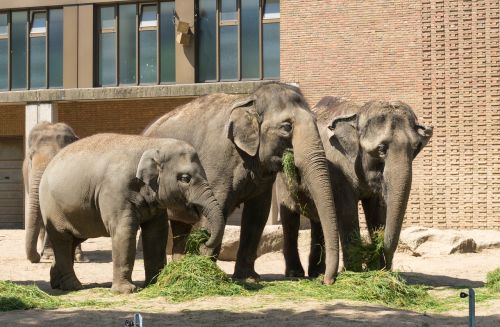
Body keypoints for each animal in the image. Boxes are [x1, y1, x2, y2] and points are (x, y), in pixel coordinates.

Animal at [39, 135, 225, 294]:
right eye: (185, 178)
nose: (204, 238)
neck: (152, 144)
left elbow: (157, 233)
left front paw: (155, 283)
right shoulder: (116, 190)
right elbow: (124, 231)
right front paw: (127, 291)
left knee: (73, 239)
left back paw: (57, 283)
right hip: (52, 207)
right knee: (63, 239)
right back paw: (74, 286)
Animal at [144, 82, 340, 284]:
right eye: (287, 127)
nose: (326, 281)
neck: (248, 100)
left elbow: (257, 214)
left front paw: (248, 279)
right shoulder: (215, 163)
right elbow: (215, 210)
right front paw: (208, 275)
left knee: (180, 225)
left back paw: (176, 270)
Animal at [278, 96, 434, 276]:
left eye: (415, 148)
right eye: (381, 149)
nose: (386, 267)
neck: (358, 114)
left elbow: (377, 212)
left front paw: (376, 271)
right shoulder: (337, 168)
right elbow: (347, 210)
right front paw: (355, 272)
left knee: (319, 220)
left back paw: (317, 273)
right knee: (290, 218)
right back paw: (295, 274)